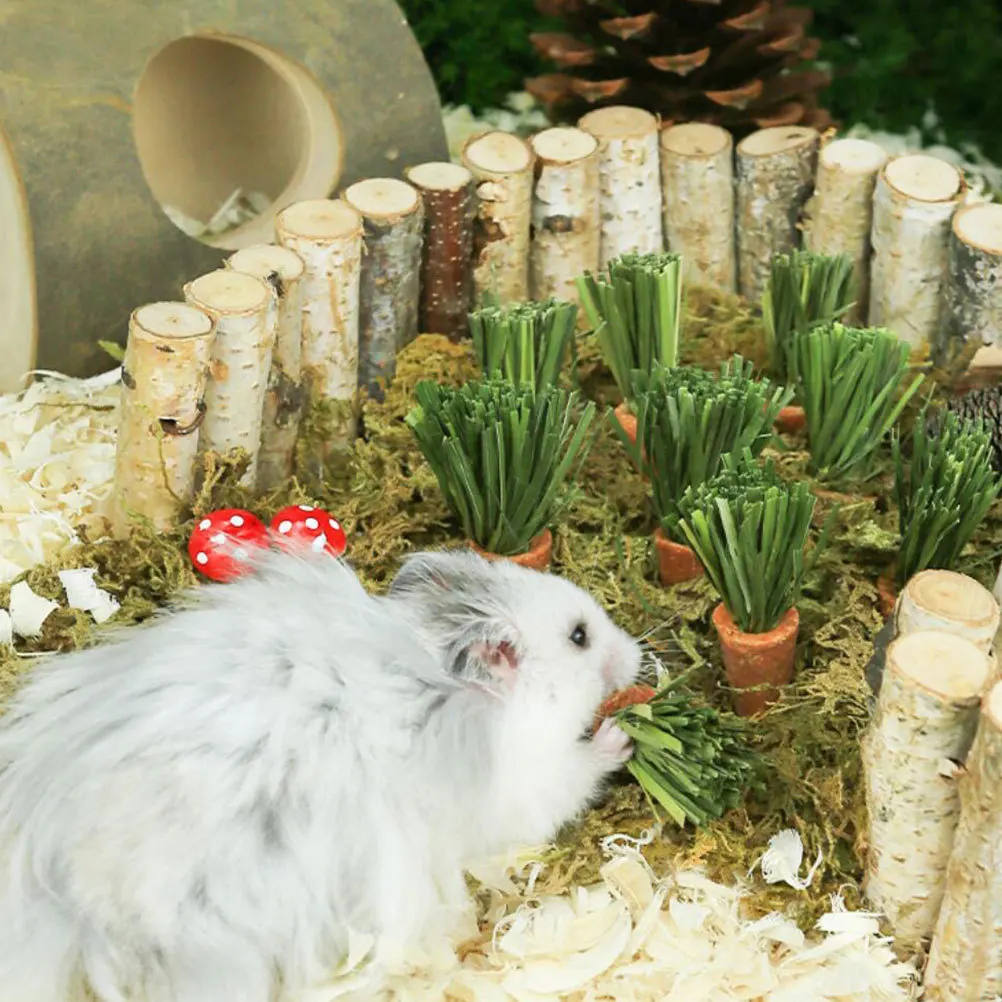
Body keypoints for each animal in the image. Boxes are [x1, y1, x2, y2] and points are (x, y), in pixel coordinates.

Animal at [0, 546, 642, 1002]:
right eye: (579, 637)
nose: (638, 653)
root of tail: (71, 904)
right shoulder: (527, 788)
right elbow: (576, 775)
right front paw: (622, 736)